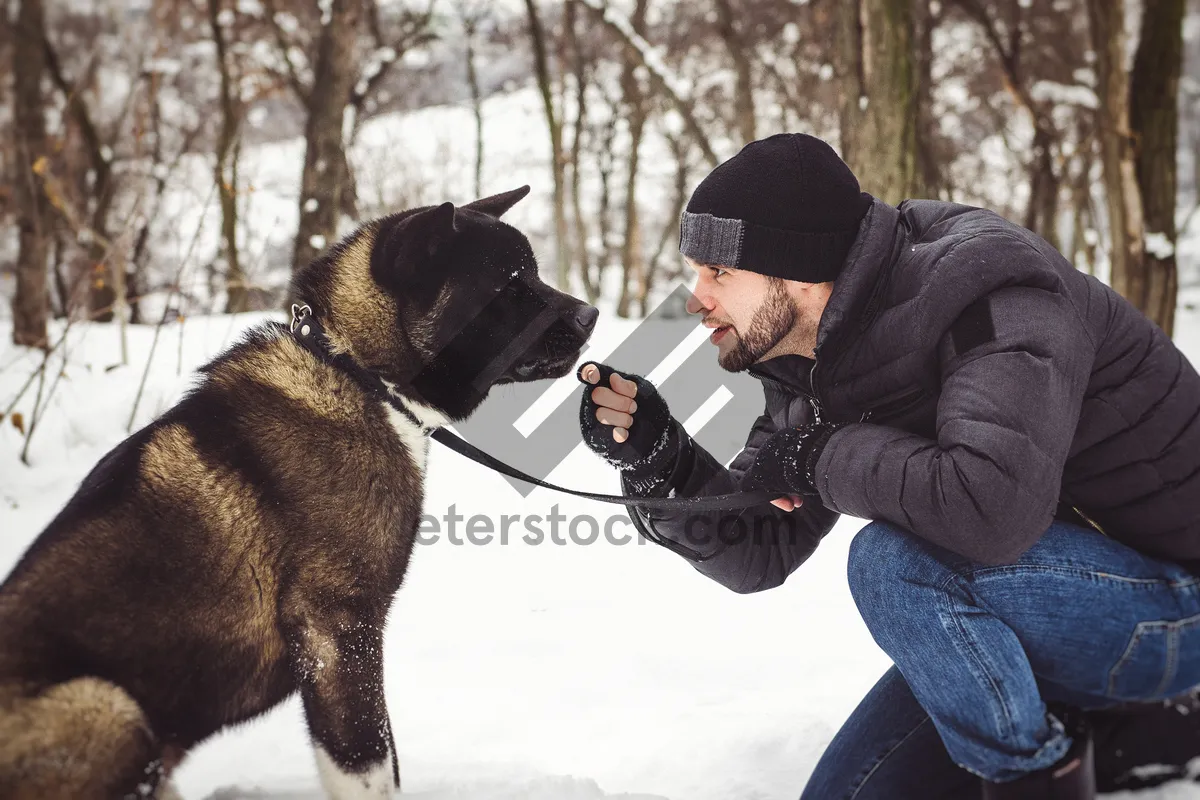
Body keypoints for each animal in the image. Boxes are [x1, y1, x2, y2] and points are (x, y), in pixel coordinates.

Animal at [0, 184, 597, 796]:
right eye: (509, 286)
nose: (591, 313)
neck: (357, 373)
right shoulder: (338, 631)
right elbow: (366, 763)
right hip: (107, 705)